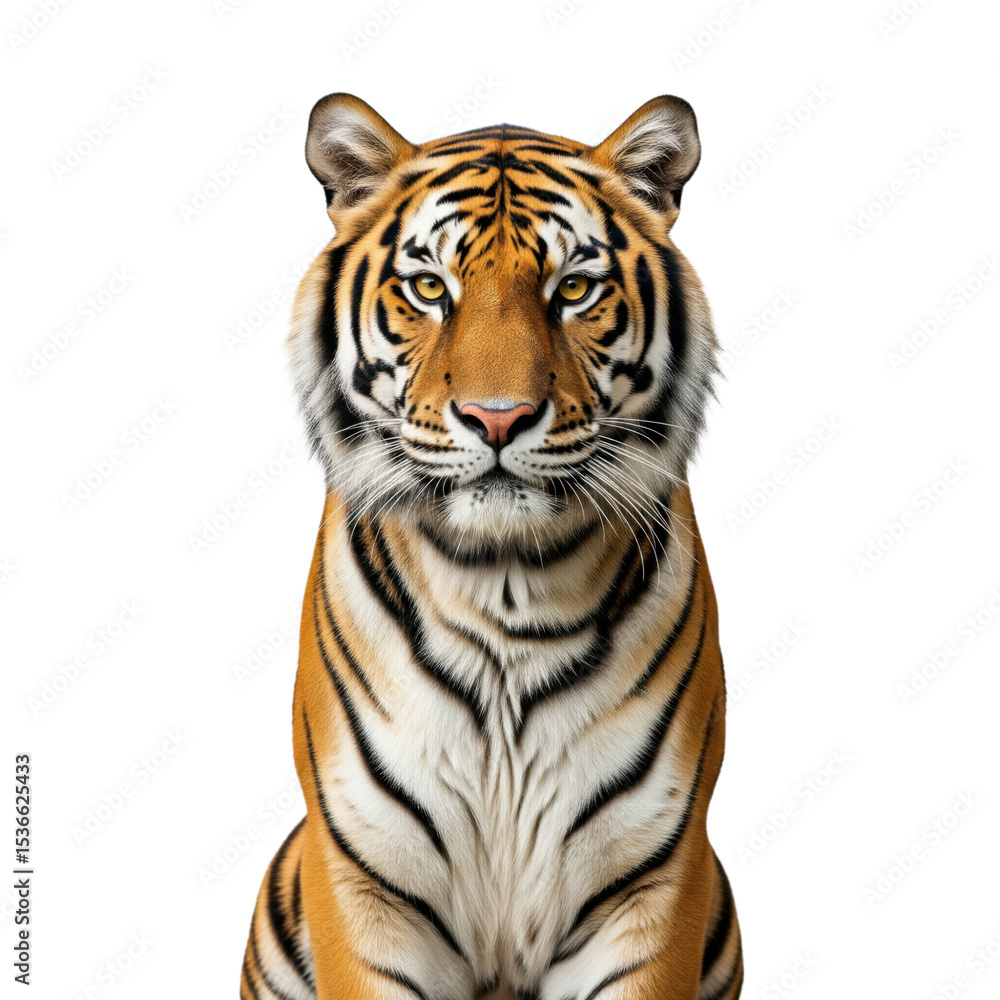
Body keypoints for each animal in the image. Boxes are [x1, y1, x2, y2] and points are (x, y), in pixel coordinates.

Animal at [239, 92, 743, 1000]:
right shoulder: (364, 881)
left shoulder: (652, 880)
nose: (498, 418)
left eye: (574, 288)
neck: (505, 583)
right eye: (427, 288)